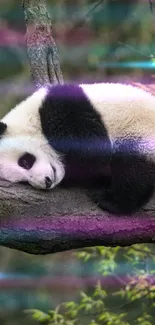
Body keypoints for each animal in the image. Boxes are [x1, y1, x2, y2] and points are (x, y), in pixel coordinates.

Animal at [0, 82, 155, 215]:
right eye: (23, 182)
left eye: (25, 162)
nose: (46, 182)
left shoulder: (64, 110)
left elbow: (94, 152)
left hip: (138, 131)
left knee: (134, 168)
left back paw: (110, 201)